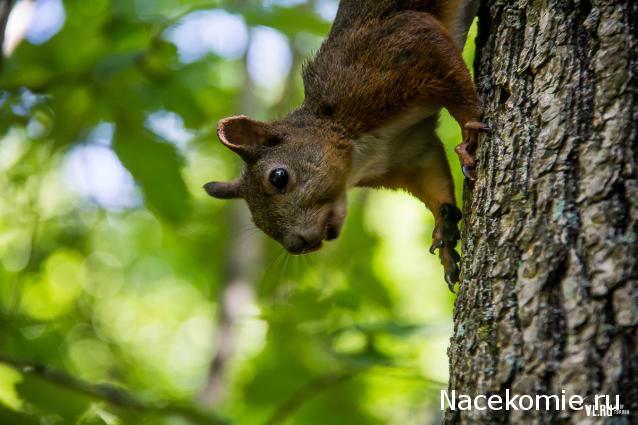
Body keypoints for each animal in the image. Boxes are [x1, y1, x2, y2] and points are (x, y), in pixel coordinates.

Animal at [206, 0, 490, 292]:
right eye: (255, 220)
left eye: (278, 177)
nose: (299, 245)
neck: (361, 155)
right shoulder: (411, 154)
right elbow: (436, 186)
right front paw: (444, 235)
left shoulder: (396, 51)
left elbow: (458, 91)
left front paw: (469, 135)